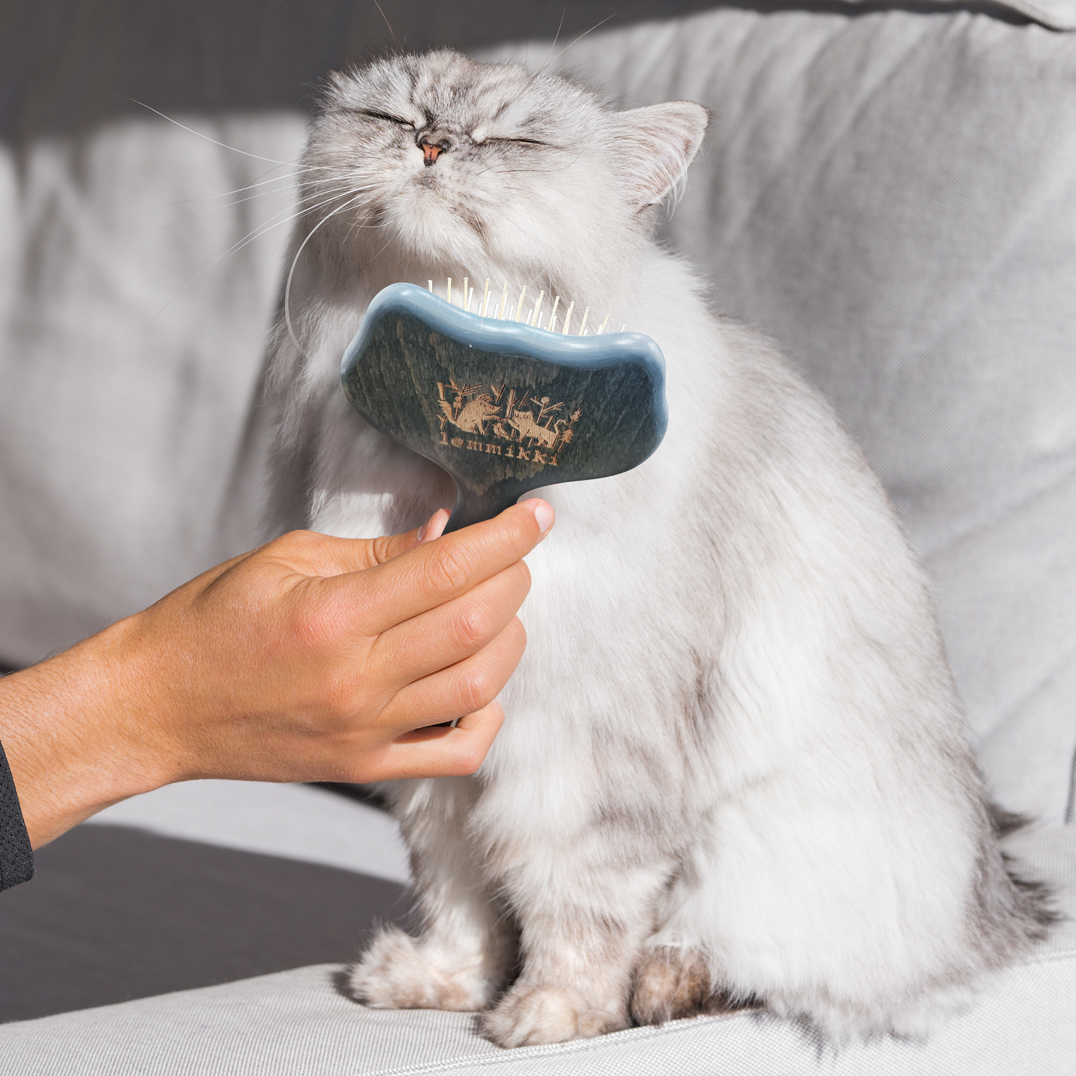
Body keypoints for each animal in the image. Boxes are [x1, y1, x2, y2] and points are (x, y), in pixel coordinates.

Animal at [264, 49, 1051, 1048]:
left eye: (512, 140)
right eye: (393, 117)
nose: (433, 144)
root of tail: (1002, 907)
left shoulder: (582, 755)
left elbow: (574, 911)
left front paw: (550, 1017)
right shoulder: (437, 760)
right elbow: (461, 902)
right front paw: (442, 985)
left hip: (779, 854)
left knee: (758, 968)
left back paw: (667, 987)